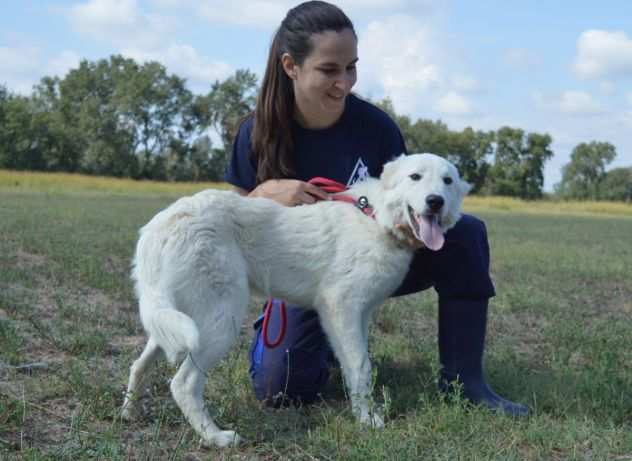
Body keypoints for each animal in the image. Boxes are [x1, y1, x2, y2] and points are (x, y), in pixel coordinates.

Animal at [122, 154, 470, 446]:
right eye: (415, 177)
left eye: (447, 181)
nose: (435, 201)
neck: (377, 217)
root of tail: (162, 223)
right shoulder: (342, 307)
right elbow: (362, 366)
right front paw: (368, 421)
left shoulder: (353, 316)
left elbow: (352, 367)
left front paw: (359, 412)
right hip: (218, 322)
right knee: (183, 384)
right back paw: (216, 437)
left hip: (175, 320)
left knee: (139, 364)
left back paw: (129, 412)